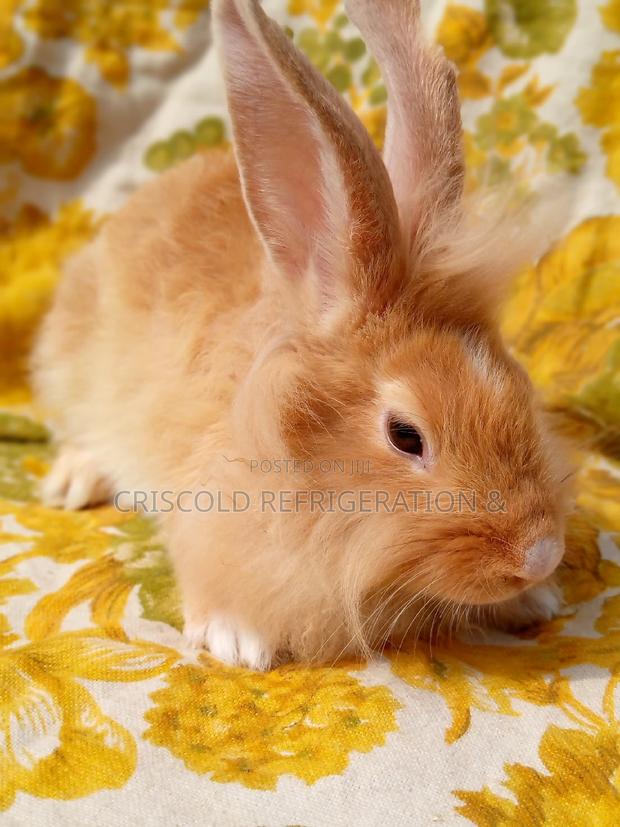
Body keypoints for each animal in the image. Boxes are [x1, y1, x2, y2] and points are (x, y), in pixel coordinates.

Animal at [32, 0, 572, 671]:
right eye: (405, 435)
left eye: (520, 389)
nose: (541, 555)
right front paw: (237, 640)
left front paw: (538, 601)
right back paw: (73, 482)